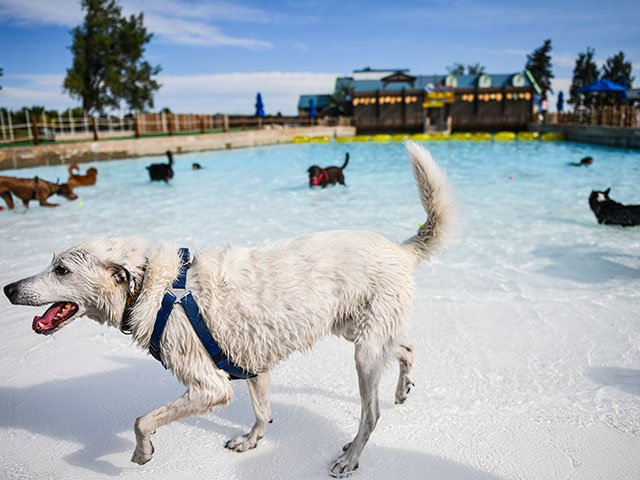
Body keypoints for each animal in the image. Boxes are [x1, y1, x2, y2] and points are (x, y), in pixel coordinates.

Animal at [3, 141, 456, 478]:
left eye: (61, 270)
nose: (8, 288)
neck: (153, 285)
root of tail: (400, 249)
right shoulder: (252, 365)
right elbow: (263, 411)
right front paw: (252, 440)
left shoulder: (210, 386)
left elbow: (142, 420)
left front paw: (142, 454)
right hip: (356, 332)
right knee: (405, 349)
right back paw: (401, 389)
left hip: (362, 351)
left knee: (371, 413)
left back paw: (351, 457)